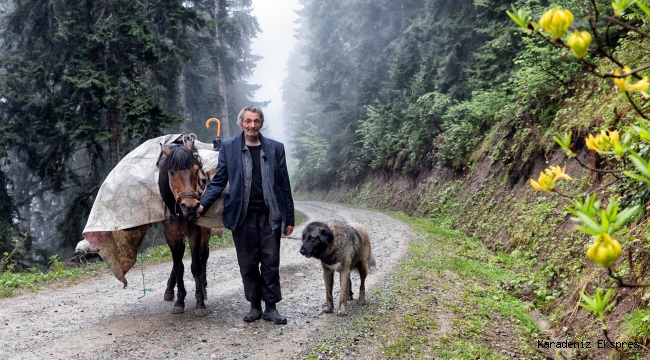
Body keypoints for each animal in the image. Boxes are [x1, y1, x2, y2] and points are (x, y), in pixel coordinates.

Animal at [158, 139, 210, 316]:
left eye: (195, 170)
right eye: (172, 172)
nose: (190, 206)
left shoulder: (195, 231)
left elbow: (196, 266)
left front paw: (200, 303)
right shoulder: (170, 234)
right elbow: (178, 266)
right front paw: (180, 301)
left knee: (203, 255)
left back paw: (203, 288)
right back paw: (169, 290)